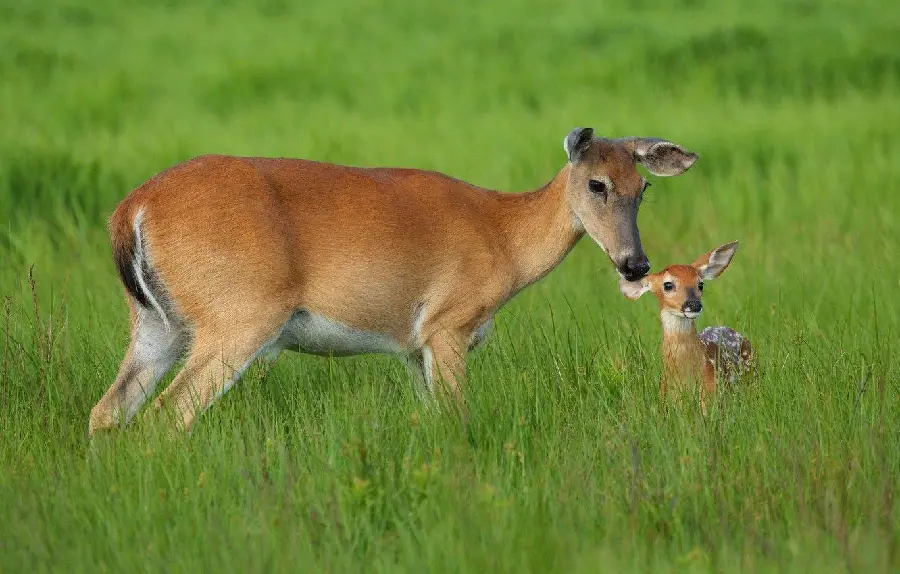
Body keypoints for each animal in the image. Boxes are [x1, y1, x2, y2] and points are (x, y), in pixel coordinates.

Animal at [88, 129, 700, 436]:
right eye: (597, 184)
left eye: (642, 188)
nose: (635, 264)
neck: (503, 235)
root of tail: (131, 209)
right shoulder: (448, 326)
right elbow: (456, 423)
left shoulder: (411, 348)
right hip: (238, 315)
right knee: (167, 418)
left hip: (155, 322)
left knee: (108, 411)